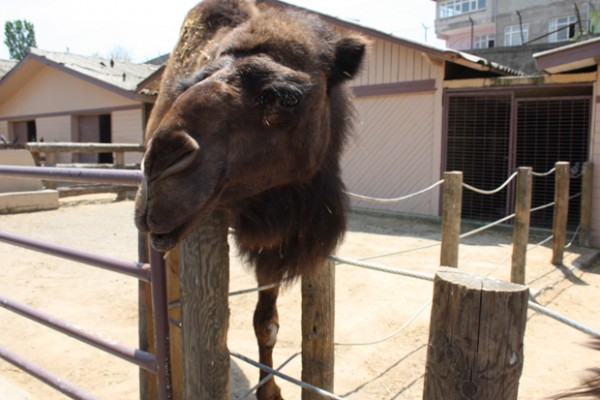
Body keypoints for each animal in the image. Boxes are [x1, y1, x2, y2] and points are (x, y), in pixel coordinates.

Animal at [134, 1, 366, 398]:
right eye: (189, 83)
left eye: (287, 96)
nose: (157, 166)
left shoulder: (277, 238)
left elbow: (266, 322)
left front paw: (270, 391)